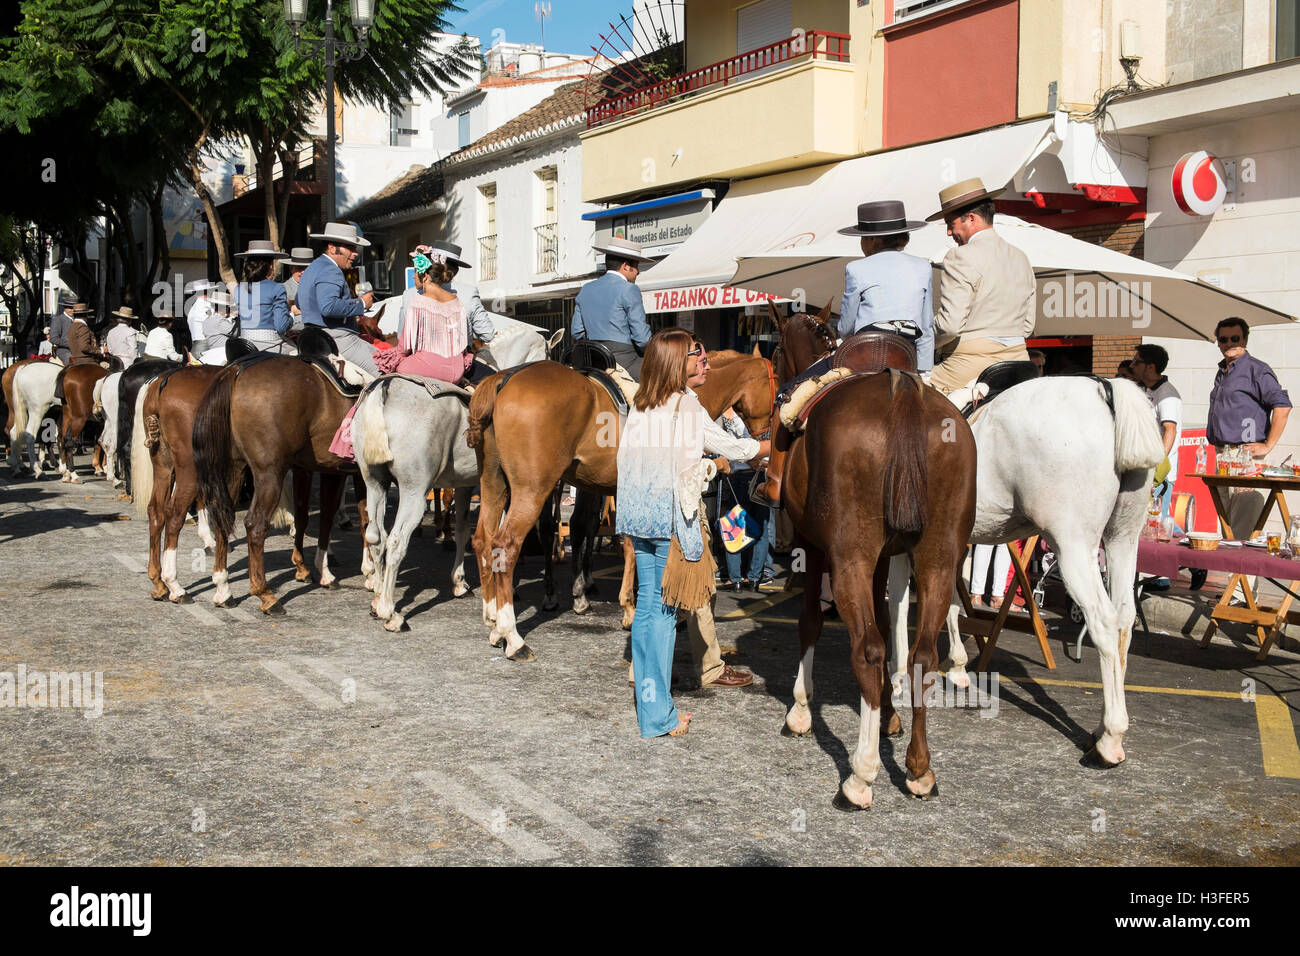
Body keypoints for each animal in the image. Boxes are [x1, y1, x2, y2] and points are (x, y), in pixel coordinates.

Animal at [192, 356, 369, 613]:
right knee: (255, 525)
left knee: (223, 521)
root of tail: (237, 371)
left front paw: (315, 570)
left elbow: (315, 516)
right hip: (269, 475)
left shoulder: (320, 470)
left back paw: (223, 589)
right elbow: (365, 519)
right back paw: (265, 594)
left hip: (234, 471)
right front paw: (370, 573)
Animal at [465, 348, 774, 665]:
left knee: (484, 541)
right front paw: (632, 608)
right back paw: (512, 636)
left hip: (494, 484)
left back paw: (494, 622)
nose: (766, 439)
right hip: (533, 489)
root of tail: (504, 379)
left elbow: (613, 540)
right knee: (508, 545)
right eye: (774, 385)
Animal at [769, 308, 977, 816]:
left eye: (777, 352)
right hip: (938, 556)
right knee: (922, 654)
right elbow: (888, 621)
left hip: (851, 558)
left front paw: (800, 710)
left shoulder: (814, 546)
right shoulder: (887, 557)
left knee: (867, 648)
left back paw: (860, 776)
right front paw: (888, 714)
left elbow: (810, 622)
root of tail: (901, 388)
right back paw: (920, 770)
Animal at [878, 374, 1164, 770]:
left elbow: (899, 604)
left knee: (1104, 622)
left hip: (1073, 544)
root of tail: (1104, 388)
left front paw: (899, 678)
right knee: (1124, 620)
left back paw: (1109, 740)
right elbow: (951, 600)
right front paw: (957, 666)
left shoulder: (906, 544)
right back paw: (1100, 728)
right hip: (1123, 538)